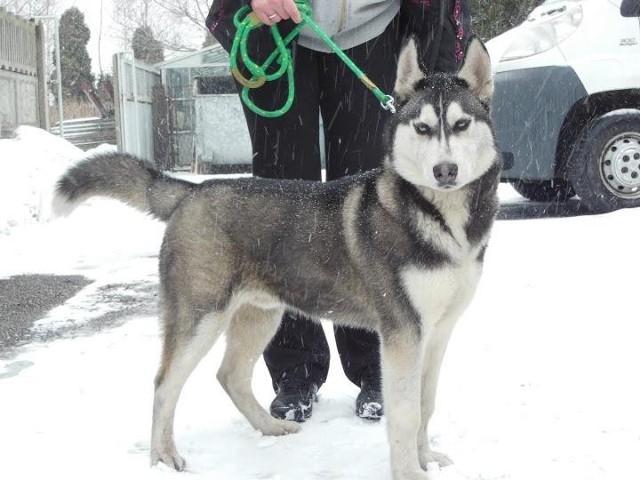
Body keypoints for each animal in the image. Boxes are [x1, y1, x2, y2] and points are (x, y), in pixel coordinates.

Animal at [56, 38, 500, 480]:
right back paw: (163, 459)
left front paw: (428, 459)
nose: (445, 170)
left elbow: (426, 404)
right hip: (200, 317)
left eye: (462, 124)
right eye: (422, 128)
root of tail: (192, 191)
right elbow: (406, 415)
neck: (439, 217)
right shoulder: (402, 333)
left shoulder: (437, 333)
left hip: (260, 315)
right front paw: (410, 472)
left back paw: (269, 427)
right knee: (164, 384)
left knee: (229, 375)